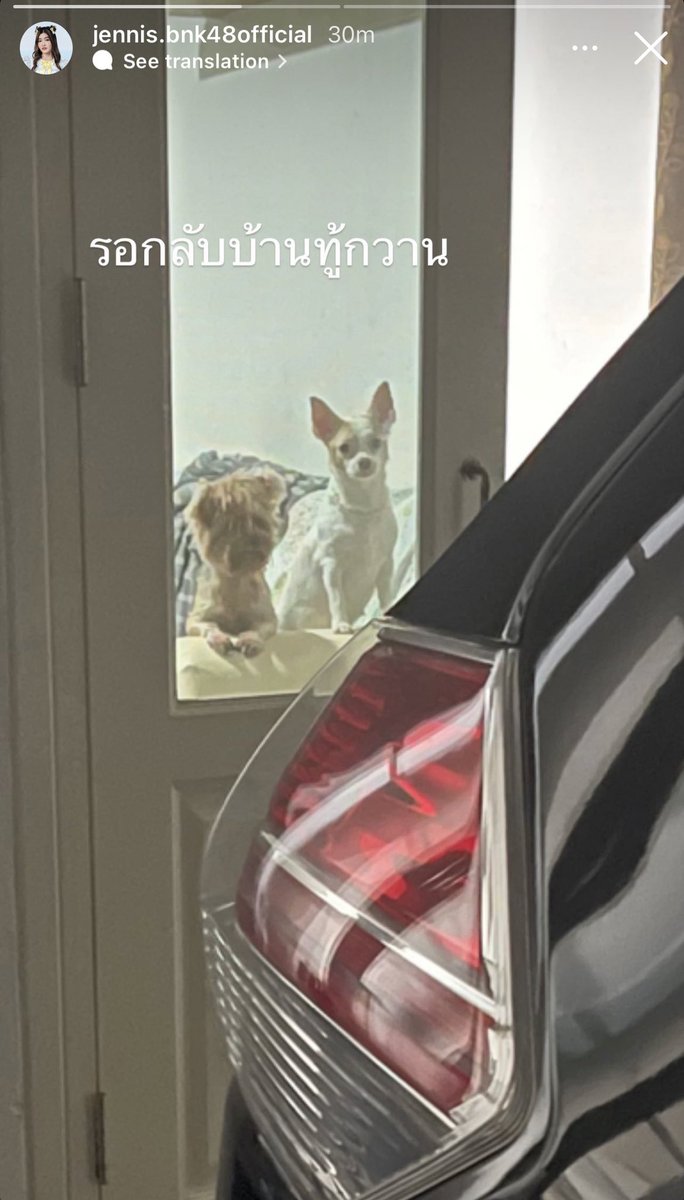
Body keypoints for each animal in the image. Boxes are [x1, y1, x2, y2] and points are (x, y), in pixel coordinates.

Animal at [185, 469, 285, 657]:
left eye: (258, 521)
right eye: (230, 526)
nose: (253, 540)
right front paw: (219, 638)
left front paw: (250, 641)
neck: (236, 578)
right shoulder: (195, 619)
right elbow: (210, 625)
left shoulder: (267, 619)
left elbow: (255, 629)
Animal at [276, 382, 398, 633]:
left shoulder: (385, 564)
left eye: (376, 442)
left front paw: (386, 615)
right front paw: (341, 624)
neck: (363, 507)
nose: (364, 461)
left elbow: (386, 595)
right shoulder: (332, 565)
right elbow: (337, 598)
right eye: (344, 448)